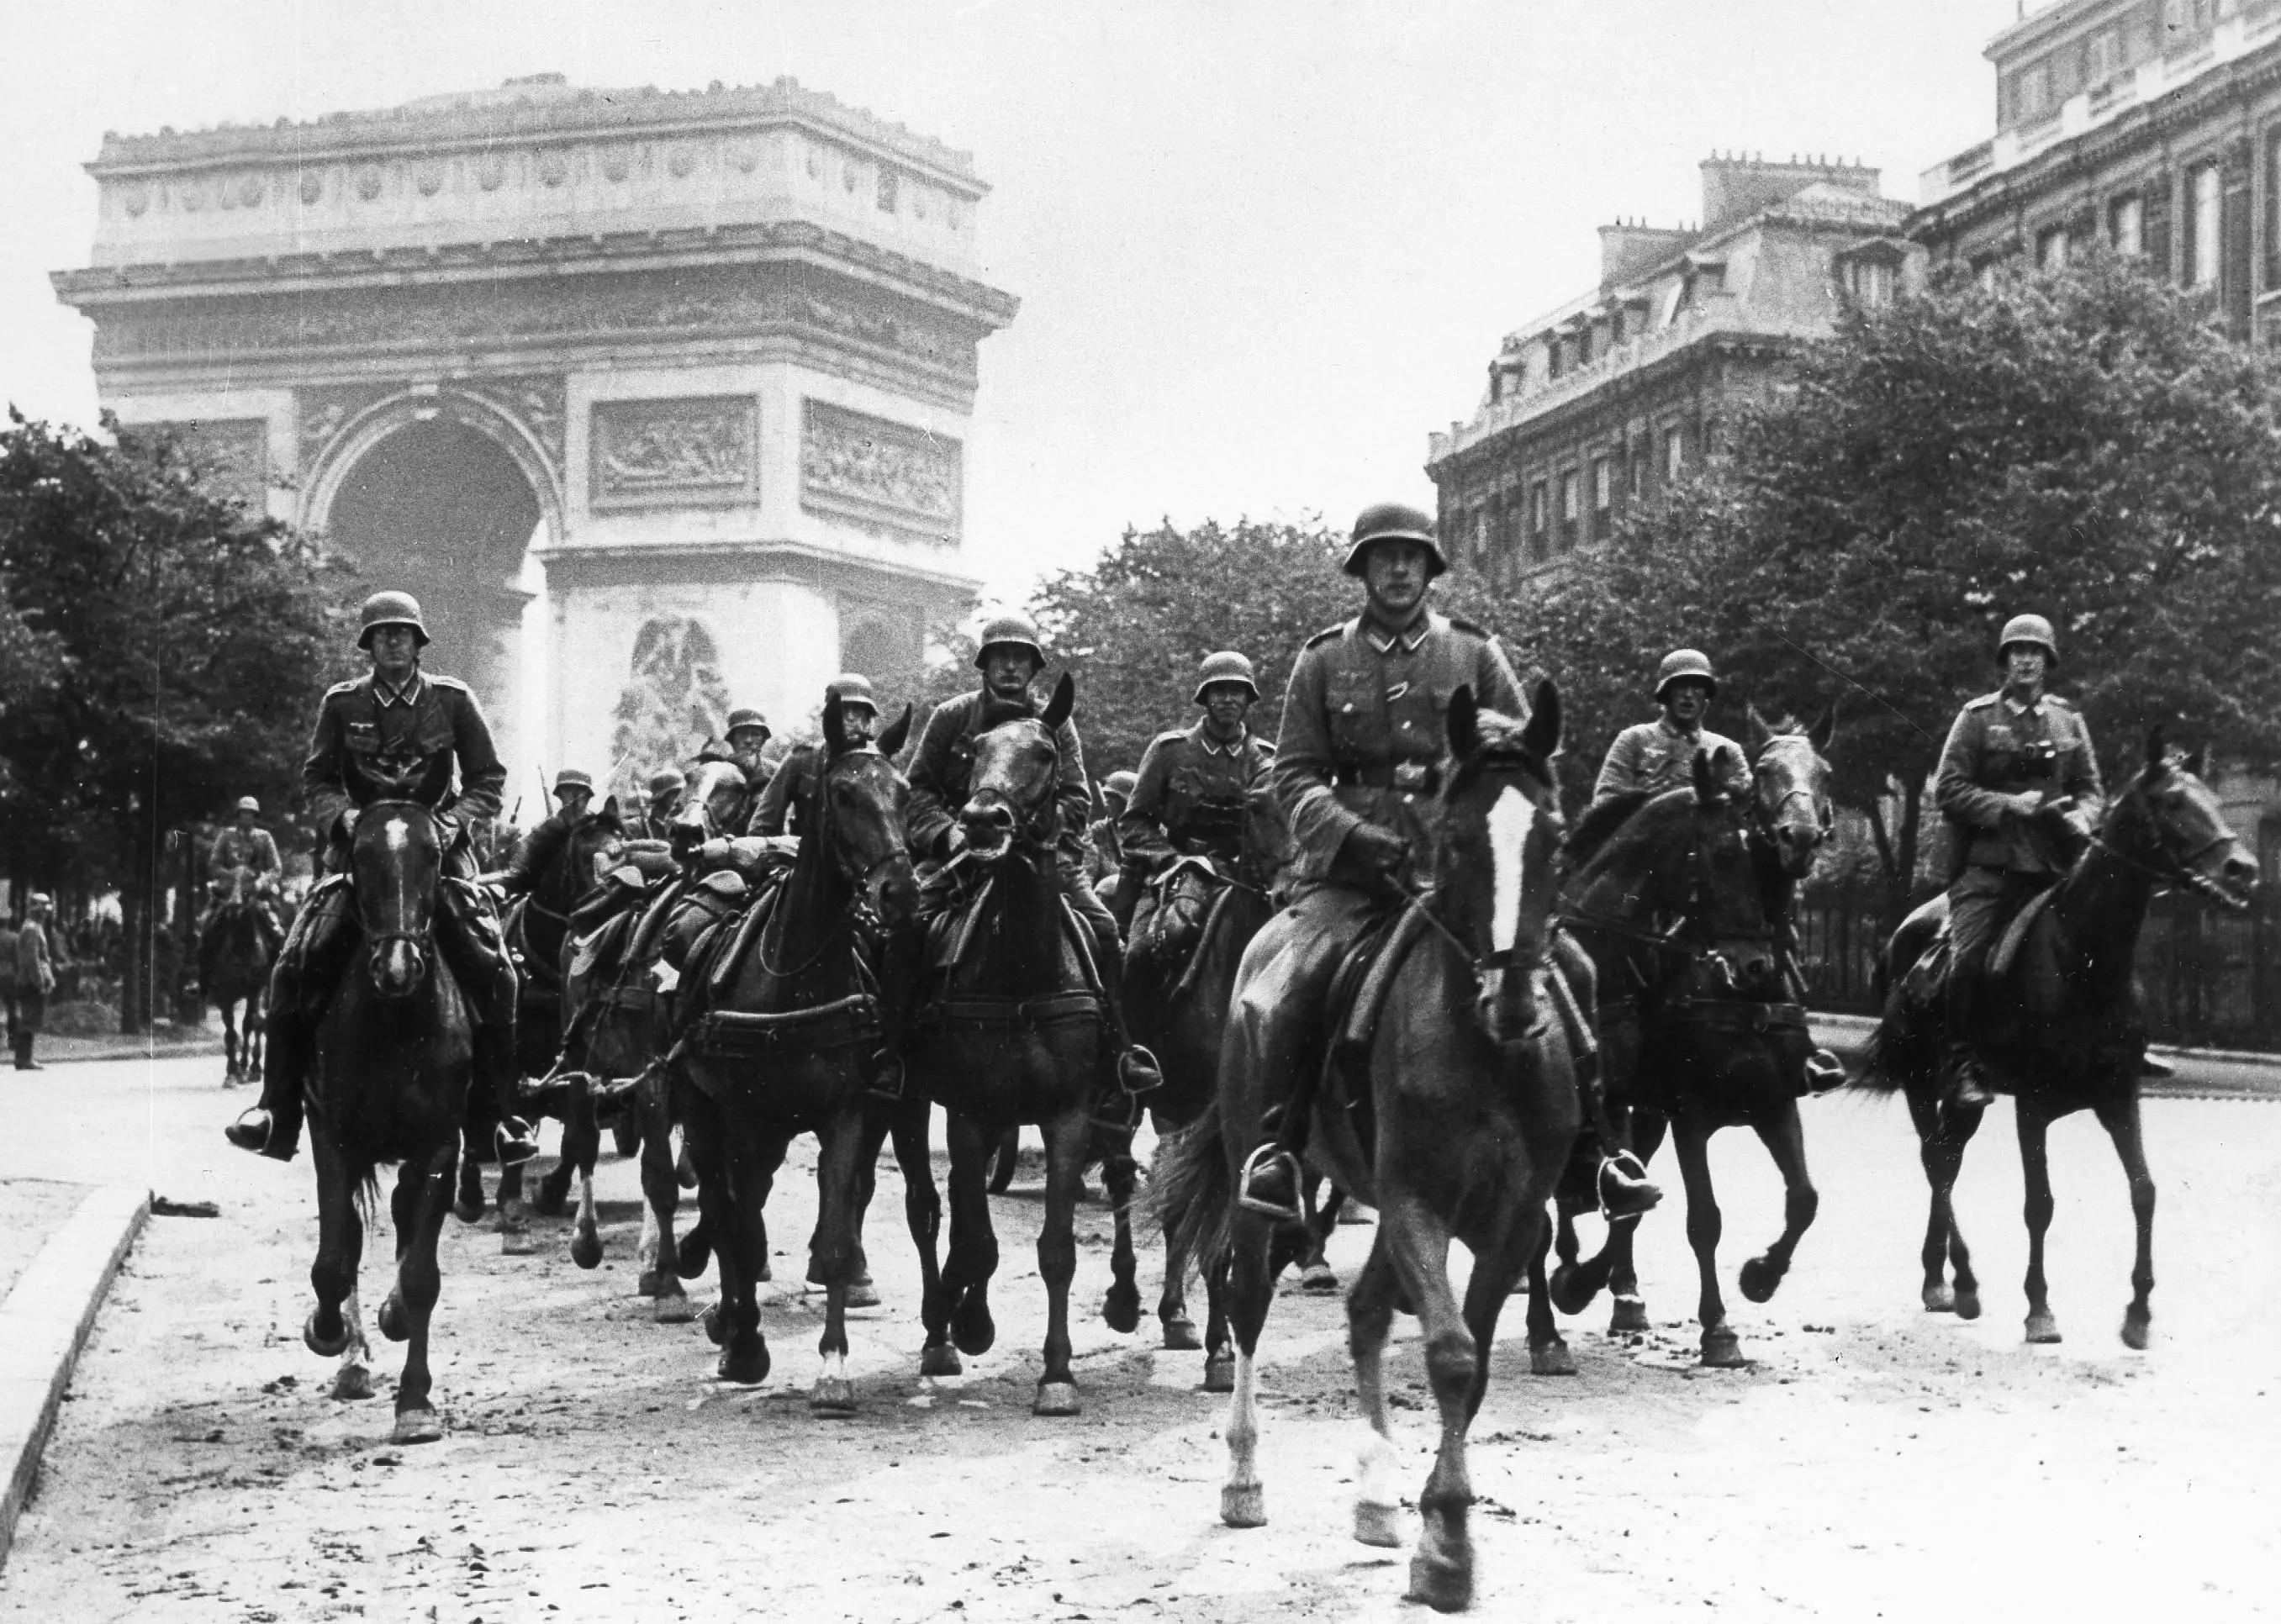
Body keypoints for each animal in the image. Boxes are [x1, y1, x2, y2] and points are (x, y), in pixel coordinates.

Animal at [199, 871, 272, 1085]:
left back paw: (253, 1067)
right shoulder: (224, 992)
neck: (242, 948)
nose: (233, 905)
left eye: (248, 886)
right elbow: (230, 1029)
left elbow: (249, 1024)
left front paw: (247, 1067)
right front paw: (232, 1072)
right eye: (226, 886)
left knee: (258, 1022)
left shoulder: (254, 989)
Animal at [298, 794, 477, 1441]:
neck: (396, 1023)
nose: (397, 969)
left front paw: (415, 1401)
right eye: (361, 856)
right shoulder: (332, 1137)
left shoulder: (440, 1145)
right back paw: (350, 1360)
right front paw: (329, 1334)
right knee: (349, 1238)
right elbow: (334, 1259)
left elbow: (421, 1277)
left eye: (433, 856)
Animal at [1168, 684, 1578, 1615]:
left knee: (1362, 1311)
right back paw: (1243, 1476)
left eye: (1554, 835)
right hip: (1266, 1173)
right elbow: (1451, 1353)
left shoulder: (1510, 1221)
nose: (1512, 1000)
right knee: (1247, 1301)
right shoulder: (1417, 1201)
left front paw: (1434, 1530)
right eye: (1456, 837)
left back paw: (1376, 1498)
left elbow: (1469, 1360)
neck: (1483, 1049)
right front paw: (1449, 1545)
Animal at [1533, 711, 1834, 1368]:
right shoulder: (1689, 1112)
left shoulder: (1775, 1101)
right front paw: (1718, 1329)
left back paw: (1616, 1292)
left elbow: (1803, 1198)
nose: (1798, 837)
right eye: (1764, 770)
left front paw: (1759, 1276)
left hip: (1641, 1112)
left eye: (1824, 771)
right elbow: (1703, 1219)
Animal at [1861, 734, 2253, 1341]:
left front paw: (2138, 1313)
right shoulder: (2033, 1106)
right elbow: (2039, 1204)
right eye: (2171, 802)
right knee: (1935, 1160)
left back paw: (1941, 1279)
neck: (2084, 961)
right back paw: (1961, 1281)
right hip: (1920, 1080)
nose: (2243, 869)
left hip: (1962, 1099)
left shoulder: (2118, 1097)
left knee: (1946, 1157)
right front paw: (2040, 1308)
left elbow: (2144, 1190)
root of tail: (1901, 936)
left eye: (2211, 796)